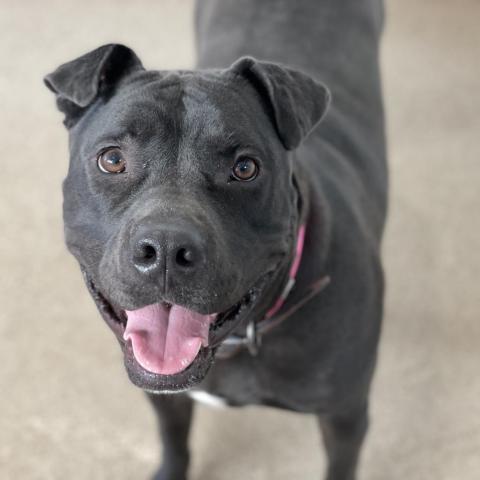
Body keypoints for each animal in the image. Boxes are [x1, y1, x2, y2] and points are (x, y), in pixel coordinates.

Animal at [45, 0, 388, 478]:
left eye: (245, 168)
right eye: (112, 160)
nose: (166, 249)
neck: (239, 341)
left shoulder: (345, 415)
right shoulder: (163, 394)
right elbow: (174, 439)